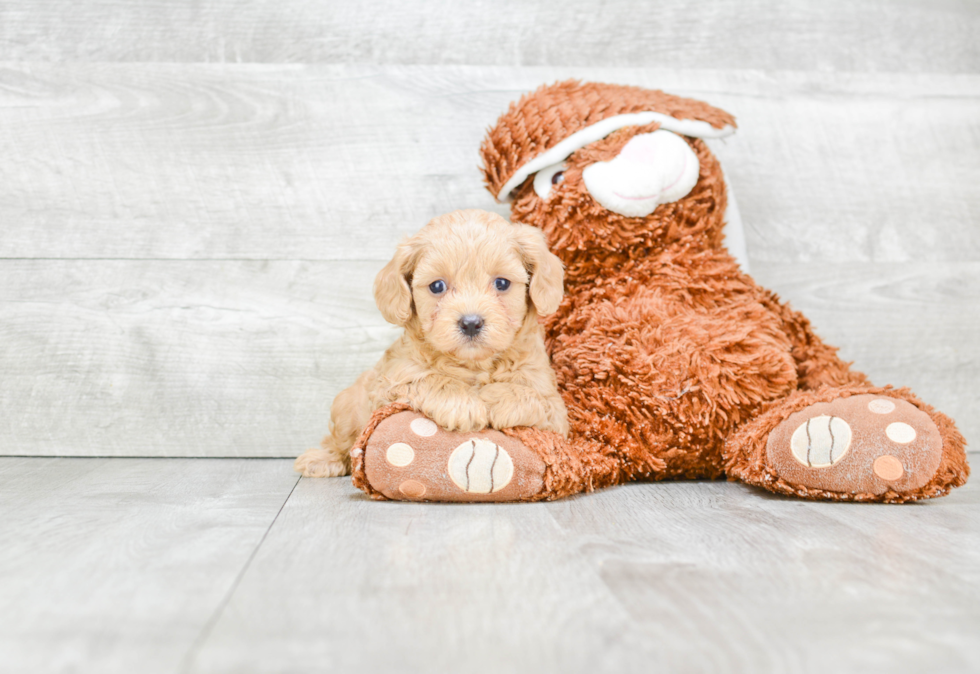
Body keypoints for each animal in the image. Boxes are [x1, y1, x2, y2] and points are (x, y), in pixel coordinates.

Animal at [292, 207, 568, 476]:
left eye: (502, 283)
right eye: (437, 286)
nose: (470, 323)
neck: (474, 365)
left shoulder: (556, 409)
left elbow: (534, 396)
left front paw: (495, 397)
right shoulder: (390, 383)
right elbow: (429, 379)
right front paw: (465, 403)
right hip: (347, 404)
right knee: (341, 441)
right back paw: (323, 460)